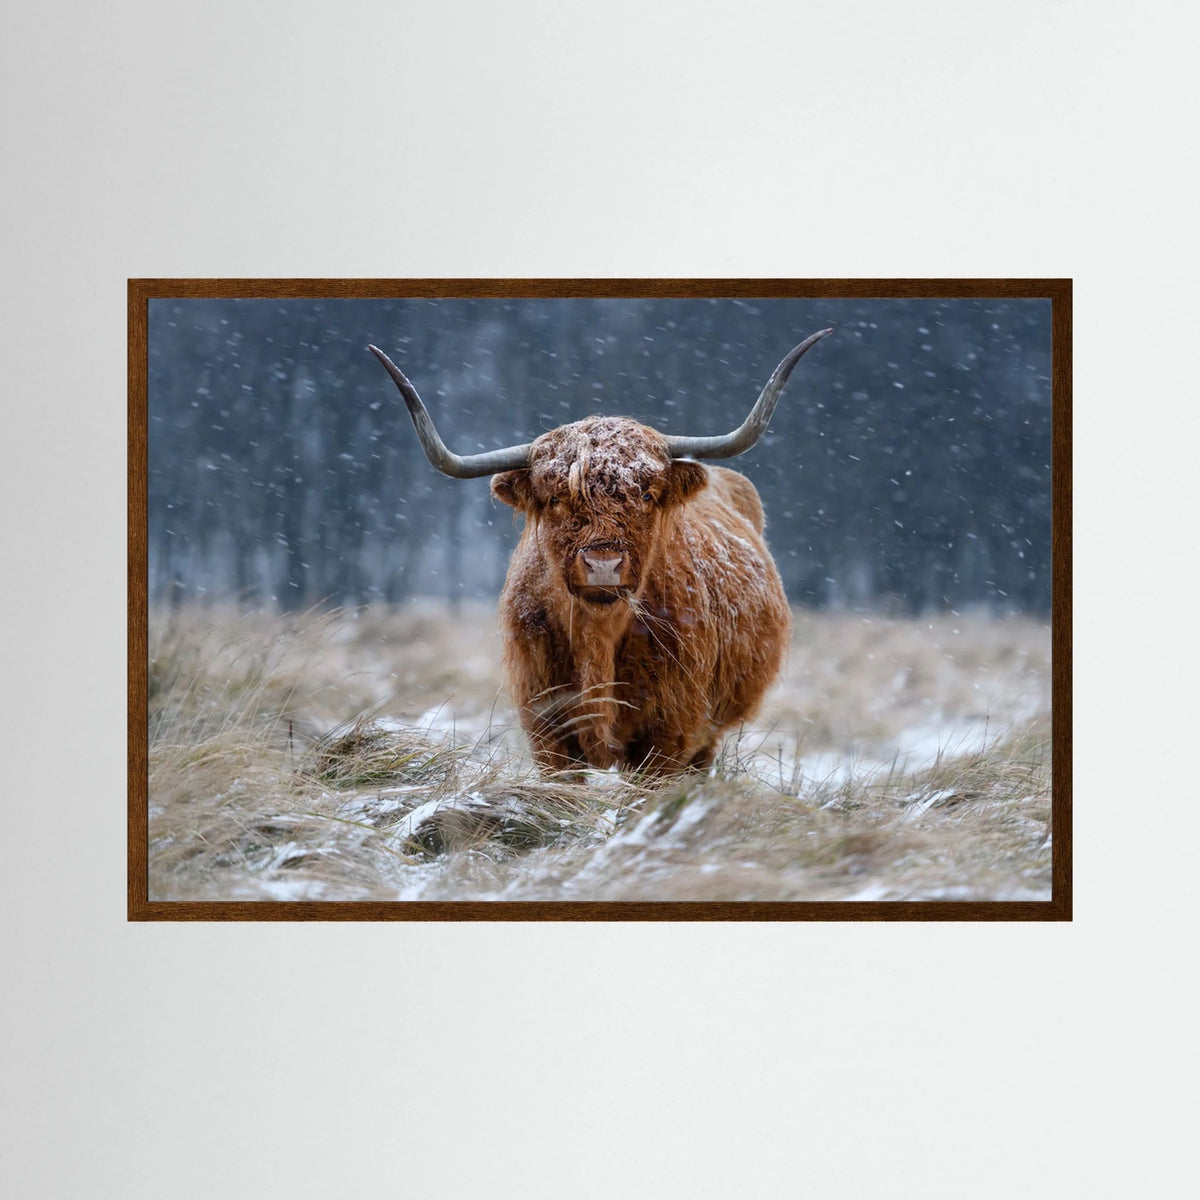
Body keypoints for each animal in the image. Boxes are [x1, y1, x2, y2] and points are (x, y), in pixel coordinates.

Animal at [368, 328, 832, 775]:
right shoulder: (547, 729)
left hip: (708, 733)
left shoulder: (669, 733)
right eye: (556, 498)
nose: (603, 564)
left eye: (646, 494)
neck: (598, 637)